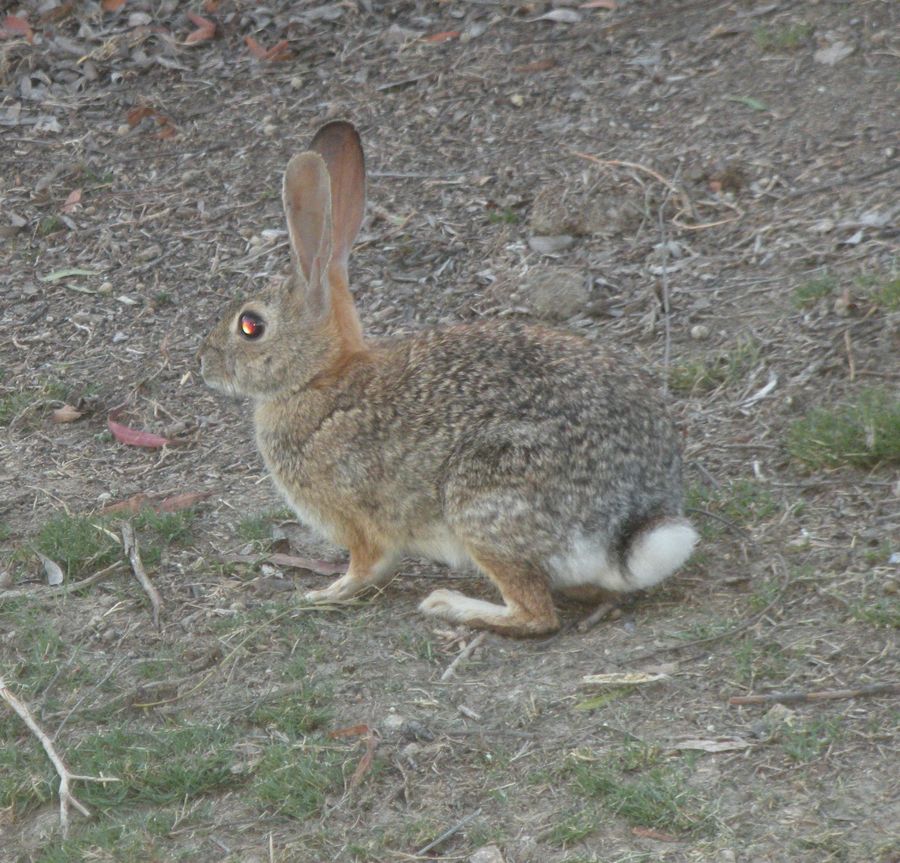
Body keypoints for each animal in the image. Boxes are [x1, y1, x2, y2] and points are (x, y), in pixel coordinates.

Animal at [200, 120, 700, 636]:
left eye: (250, 326)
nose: (203, 363)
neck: (319, 378)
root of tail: (628, 522)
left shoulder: (358, 522)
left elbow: (366, 567)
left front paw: (325, 593)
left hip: (482, 499)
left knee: (535, 615)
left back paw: (450, 605)